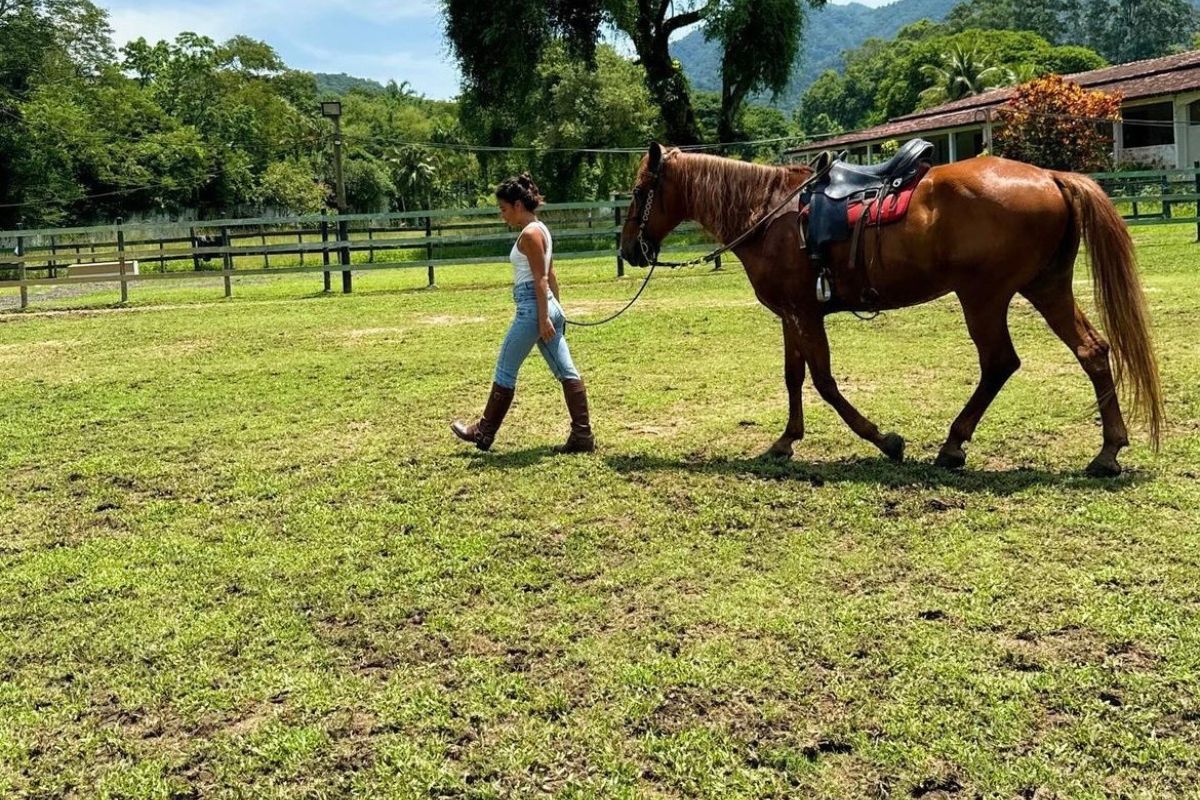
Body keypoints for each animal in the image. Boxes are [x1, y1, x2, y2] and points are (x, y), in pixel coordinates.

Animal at [619, 143, 1161, 474]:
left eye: (640, 192)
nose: (629, 250)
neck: (770, 213)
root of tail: (1049, 176)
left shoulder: (804, 313)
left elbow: (824, 382)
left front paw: (884, 440)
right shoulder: (792, 314)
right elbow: (794, 378)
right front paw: (785, 441)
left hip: (984, 297)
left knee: (999, 363)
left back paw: (953, 444)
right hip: (1045, 287)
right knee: (1092, 351)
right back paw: (1107, 452)